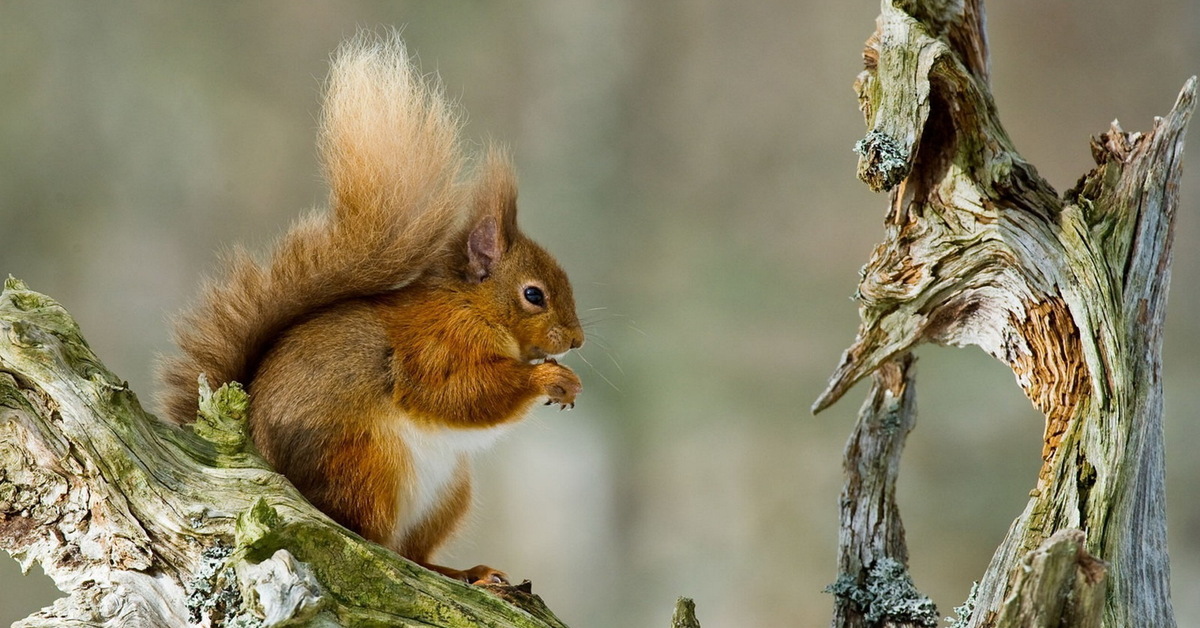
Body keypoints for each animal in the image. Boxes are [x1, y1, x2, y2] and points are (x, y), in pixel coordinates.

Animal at [154, 33, 585, 585]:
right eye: (534, 295)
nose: (575, 340)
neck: (471, 306)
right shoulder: (433, 345)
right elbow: (458, 393)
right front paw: (549, 379)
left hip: (448, 493)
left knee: (411, 553)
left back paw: (464, 573)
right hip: (367, 466)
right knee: (373, 540)